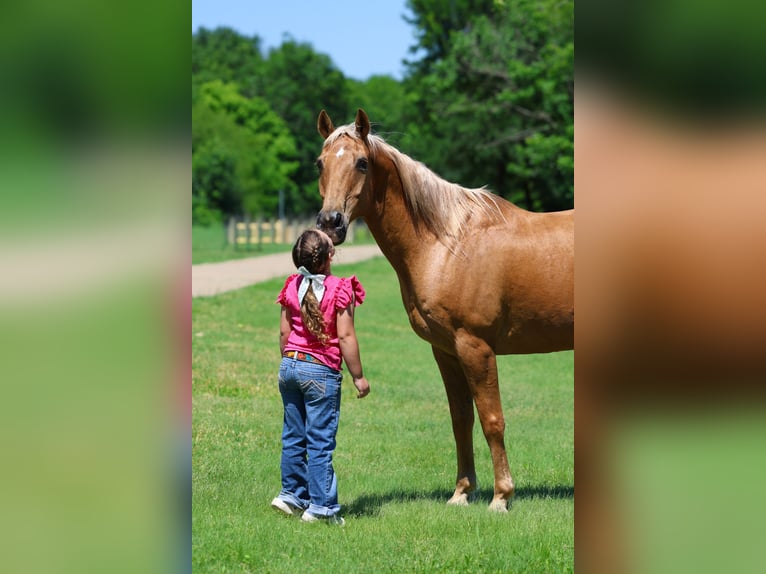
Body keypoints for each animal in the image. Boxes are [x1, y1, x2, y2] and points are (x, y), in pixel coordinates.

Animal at [315, 108, 574, 512]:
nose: (331, 223)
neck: (447, 245)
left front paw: (501, 497)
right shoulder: (447, 351)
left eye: (361, 163)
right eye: (319, 163)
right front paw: (462, 493)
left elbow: (492, 419)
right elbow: (461, 420)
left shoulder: (476, 348)